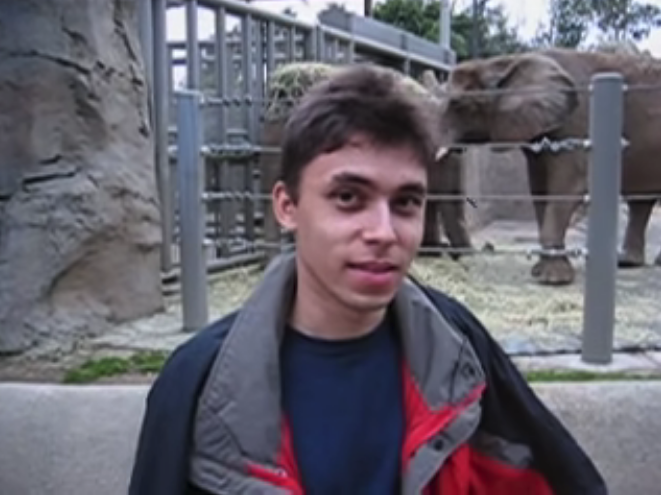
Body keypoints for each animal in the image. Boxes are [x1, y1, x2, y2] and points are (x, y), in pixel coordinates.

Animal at [420, 46, 660, 286]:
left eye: (458, 104)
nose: (461, 257)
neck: (507, 61)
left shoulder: (577, 122)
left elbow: (568, 186)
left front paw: (553, 280)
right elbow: (539, 187)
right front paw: (540, 272)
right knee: (641, 201)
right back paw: (627, 262)